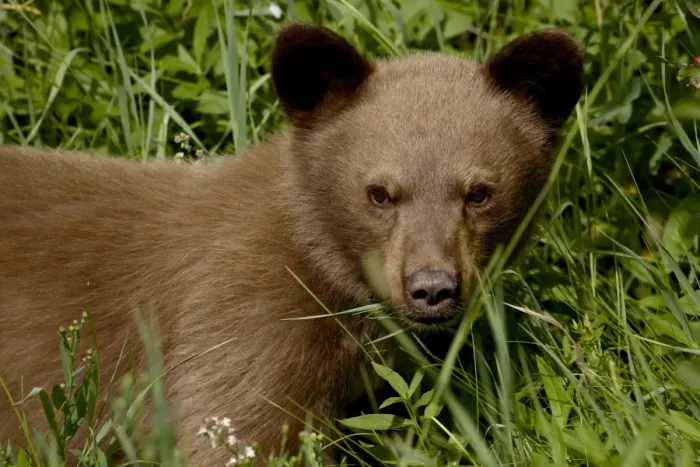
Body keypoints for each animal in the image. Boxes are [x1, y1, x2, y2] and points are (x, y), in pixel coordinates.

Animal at [0, 22, 584, 465]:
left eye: (479, 192)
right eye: (379, 193)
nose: (432, 288)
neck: (318, 254)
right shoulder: (240, 316)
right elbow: (240, 428)